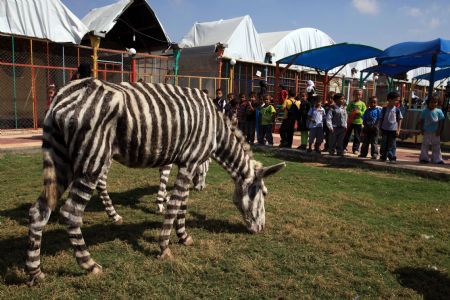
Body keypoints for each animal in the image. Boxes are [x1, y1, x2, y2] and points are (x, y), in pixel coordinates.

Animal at [26, 78, 284, 284]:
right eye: (263, 194)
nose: (261, 230)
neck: (216, 129)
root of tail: (61, 97)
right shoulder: (190, 161)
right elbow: (175, 204)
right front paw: (164, 248)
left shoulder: (184, 162)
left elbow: (182, 204)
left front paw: (184, 237)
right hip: (93, 160)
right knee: (71, 212)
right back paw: (89, 264)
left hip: (61, 160)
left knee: (39, 210)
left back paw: (34, 272)